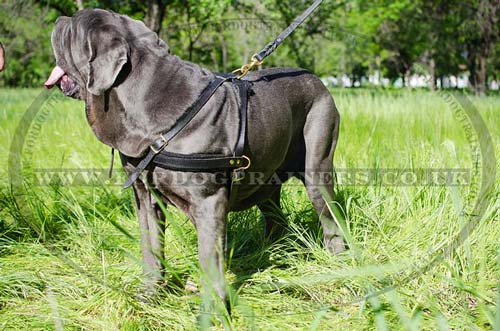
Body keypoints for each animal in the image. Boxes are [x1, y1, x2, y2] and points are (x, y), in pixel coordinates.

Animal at [45, 8, 342, 308]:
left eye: (72, 28)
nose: (58, 20)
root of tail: (315, 78)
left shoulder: (208, 200)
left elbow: (209, 256)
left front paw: (213, 308)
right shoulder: (145, 197)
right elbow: (150, 246)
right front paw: (150, 293)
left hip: (318, 163)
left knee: (330, 216)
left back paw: (337, 262)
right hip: (266, 180)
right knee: (275, 216)